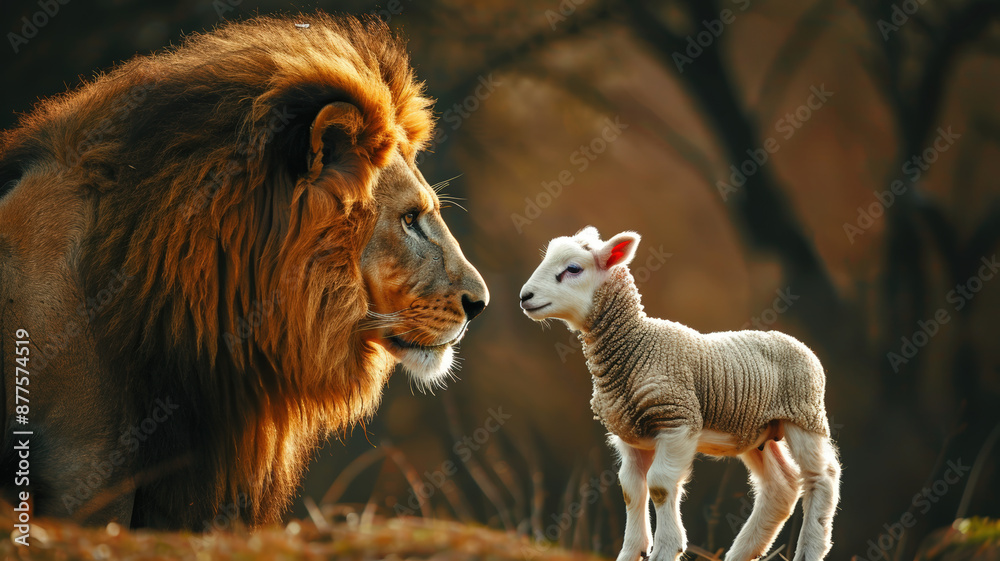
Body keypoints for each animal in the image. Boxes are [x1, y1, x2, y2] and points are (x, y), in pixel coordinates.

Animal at [519, 227, 840, 561]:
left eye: (573, 269)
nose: (524, 297)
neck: (636, 346)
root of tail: (794, 341)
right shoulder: (629, 434)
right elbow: (631, 489)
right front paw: (632, 550)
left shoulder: (676, 418)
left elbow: (660, 485)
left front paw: (666, 548)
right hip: (756, 430)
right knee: (781, 486)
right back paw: (741, 552)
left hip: (804, 414)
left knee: (822, 477)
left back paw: (811, 548)